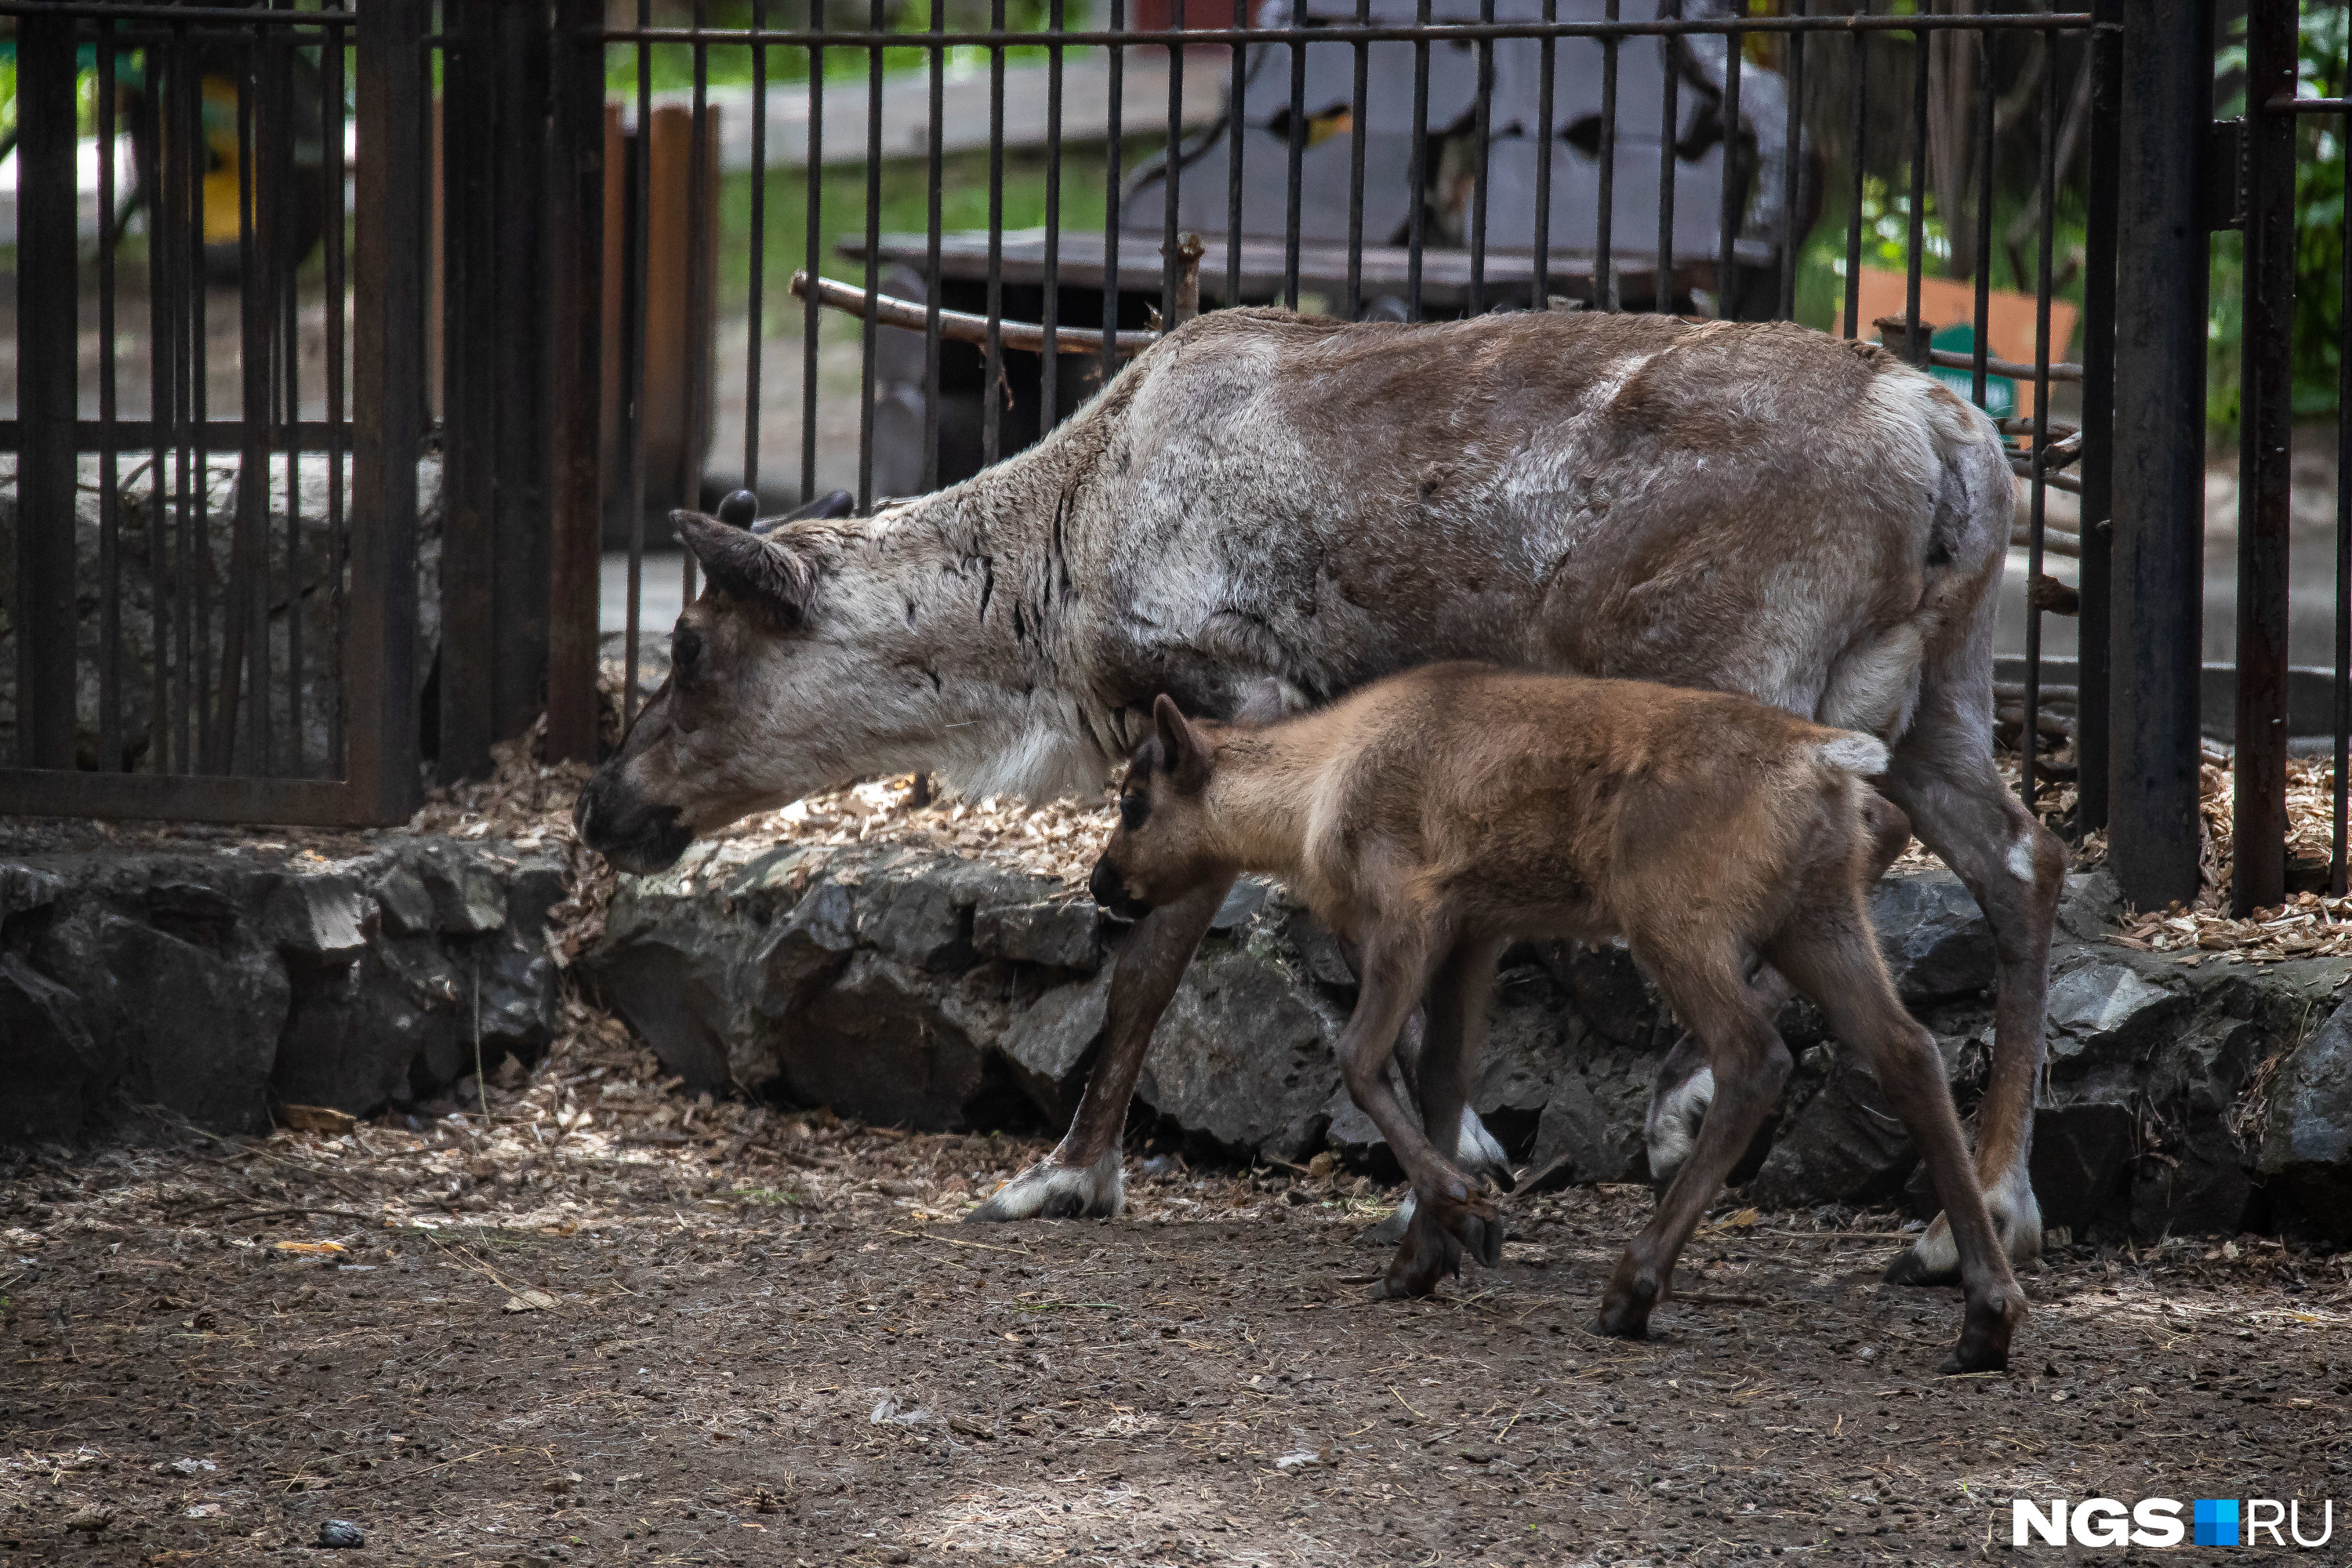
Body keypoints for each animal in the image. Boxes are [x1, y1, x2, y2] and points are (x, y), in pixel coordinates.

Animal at [1091, 662, 2032, 1373]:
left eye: (1135, 799)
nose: (1102, 883)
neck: (1311, 801)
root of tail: (1826, 763)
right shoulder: (1479, 929)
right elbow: (1443, 1078)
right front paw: (1424, 1254)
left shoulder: (1413, 906)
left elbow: (1359, 1056)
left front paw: (1465, 1206)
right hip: (1818, 915)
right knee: (1908, 1049)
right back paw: (1985, 1318)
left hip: (1676, 916)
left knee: (1755, 1054)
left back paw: (1631, 1288)